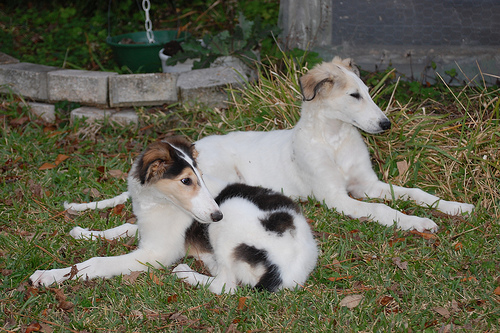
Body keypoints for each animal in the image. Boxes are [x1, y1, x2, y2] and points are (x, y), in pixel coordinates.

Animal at [28, 136, 316, 292]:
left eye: (200, 176)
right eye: (186, 180)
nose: (216, 215)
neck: (159, 202)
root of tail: (291, 271)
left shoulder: (156, 253)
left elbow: (98, 262)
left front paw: (50, 275)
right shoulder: (150, 229)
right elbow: (122, 227)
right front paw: (83, 233)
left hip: (231, 216)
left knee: (226, 286)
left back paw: (185, 272)